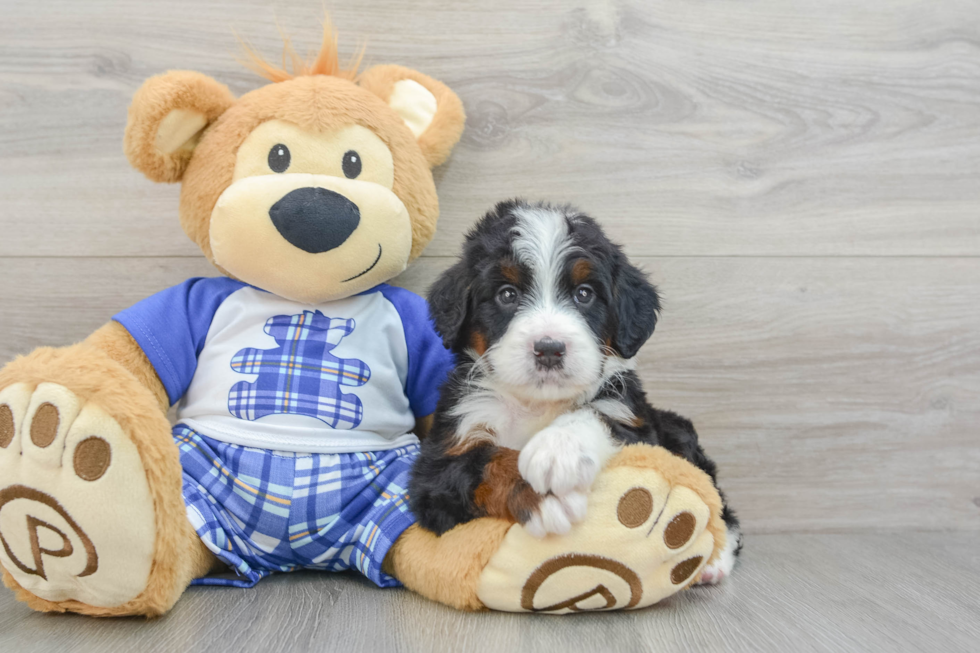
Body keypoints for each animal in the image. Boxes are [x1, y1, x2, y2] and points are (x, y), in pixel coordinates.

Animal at [408, 200, 744, 584]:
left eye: (584, 294)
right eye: (507, 294)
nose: (549, 348)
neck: (536, 405)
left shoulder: (636, 423)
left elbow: (594, 413)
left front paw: (558, 450)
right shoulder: (438, 464)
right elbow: (486, 461)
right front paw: (540, 494)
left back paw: (715, 559)